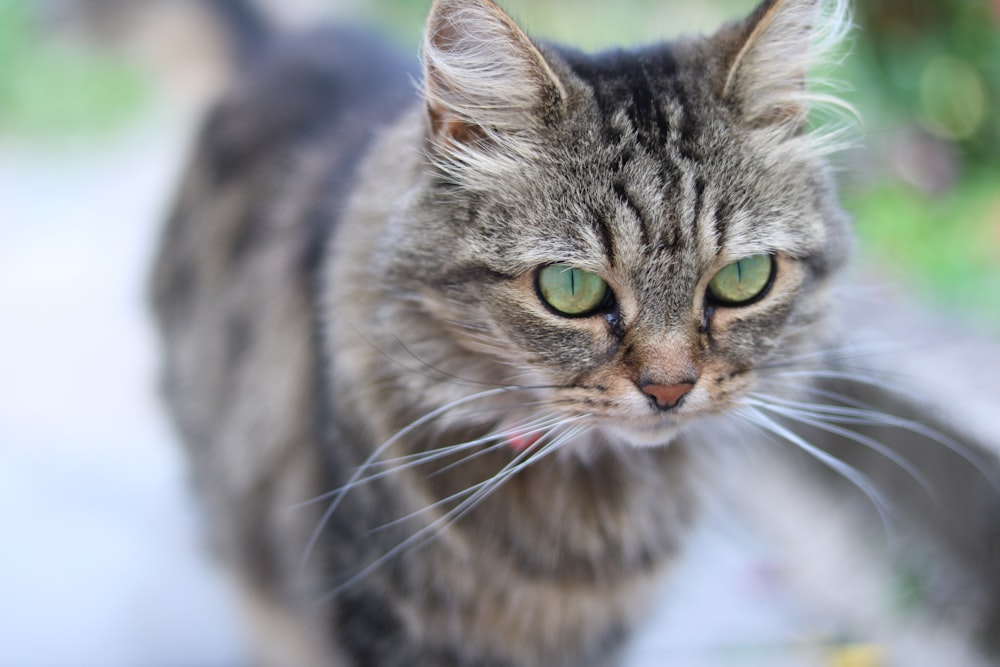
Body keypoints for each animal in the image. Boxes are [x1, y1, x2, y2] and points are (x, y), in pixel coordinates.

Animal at [150, 0, 1000, 664]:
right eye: (571, 290)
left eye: (742, 279)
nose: (670, 388)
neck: (586, 510)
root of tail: (287, 45)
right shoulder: (379, 617)